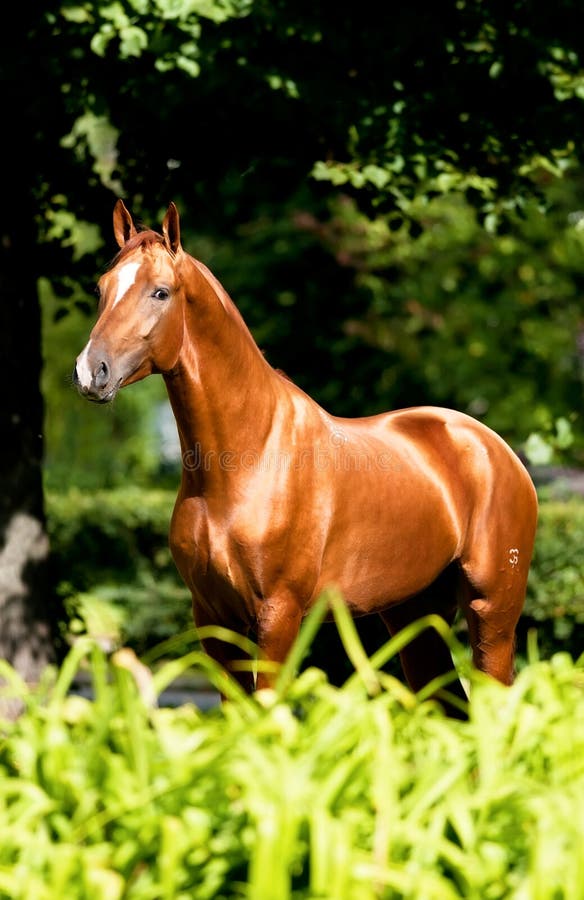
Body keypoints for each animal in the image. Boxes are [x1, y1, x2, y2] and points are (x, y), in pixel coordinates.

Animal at [73, 200, 540, 712]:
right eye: (101, 287)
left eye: (160, 292)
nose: (90, 372)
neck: (246, 461)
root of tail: (497, 450)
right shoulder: (214, 619)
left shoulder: (279, 614)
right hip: (414, 616)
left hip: (492, 611)